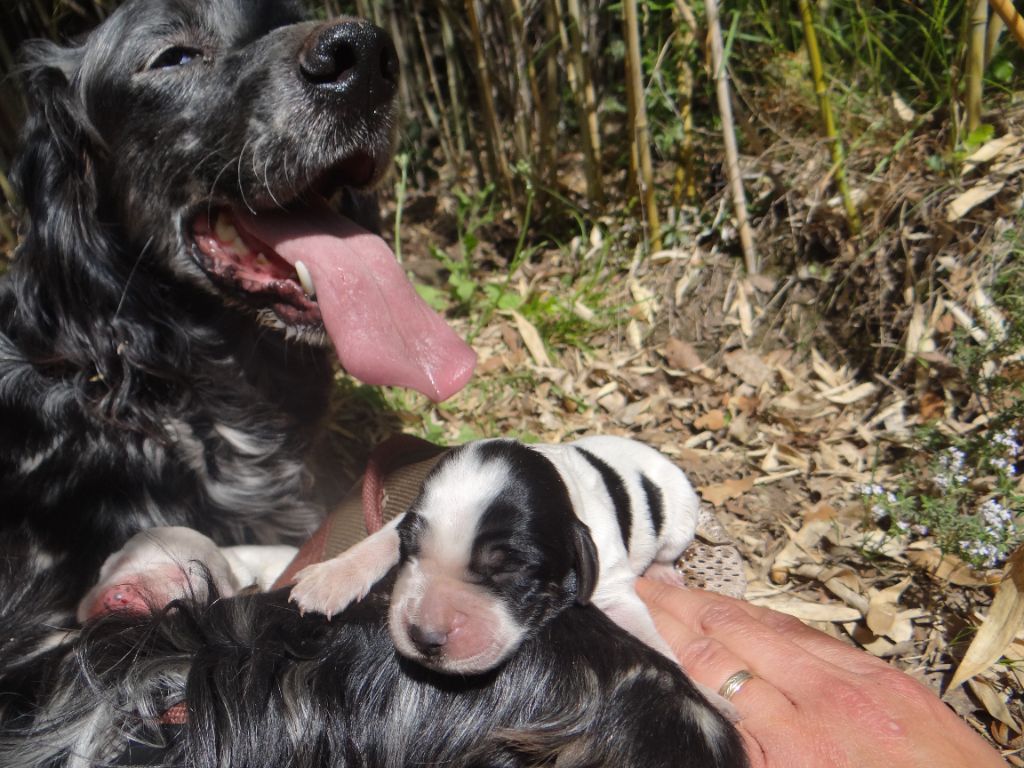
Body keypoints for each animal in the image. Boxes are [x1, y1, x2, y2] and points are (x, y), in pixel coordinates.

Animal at [292, 436, 700, 675]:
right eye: (411, 547)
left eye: (511, 569)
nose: (424, 637)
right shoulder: (408, 517)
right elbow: (382, 539)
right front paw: (330, 578)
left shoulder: (611, 583)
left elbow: (641, 630)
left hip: (682, 516)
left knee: (668, 550)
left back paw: (663, 571)